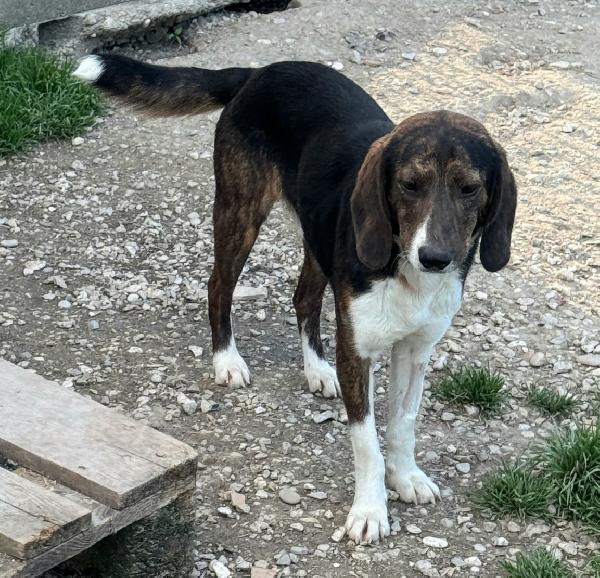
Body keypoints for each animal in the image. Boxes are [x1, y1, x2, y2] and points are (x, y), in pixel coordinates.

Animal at [74, 54, 517, 544]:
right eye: (409, 184)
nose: (435, 257)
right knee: (218, 286)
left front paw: (406, 477)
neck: (406, 273)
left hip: (315, 237)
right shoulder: (358, 349)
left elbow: (403, 424)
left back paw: (318, 370)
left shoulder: (416, 350)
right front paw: (370, 510)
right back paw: (227, 360)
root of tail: (260, 71)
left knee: (304, 298)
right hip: (241, 211)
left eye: (469, 187)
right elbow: (367, 442)